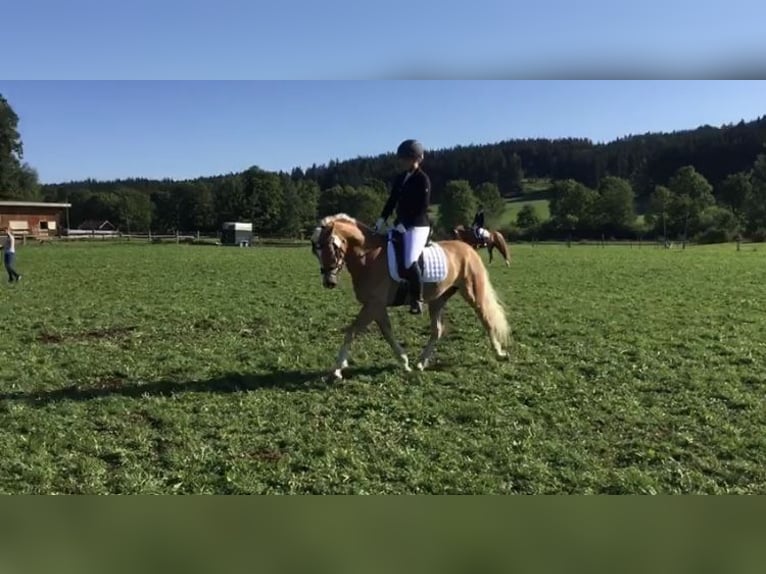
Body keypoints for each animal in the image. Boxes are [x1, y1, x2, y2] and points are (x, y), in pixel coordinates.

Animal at [310, 214, 511, 380]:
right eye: (315, 251)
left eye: (331, 246)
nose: (329, 282)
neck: (368, 257)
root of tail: (468, 247)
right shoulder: (377, 306)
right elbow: (387, 332)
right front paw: (404, 362)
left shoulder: (373, 304)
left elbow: (351, 331)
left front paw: (337, 369)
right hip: (438, 299)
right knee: (437, 330)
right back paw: (421, 363)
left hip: (472, 291)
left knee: (486, 318)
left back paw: (499, 353)